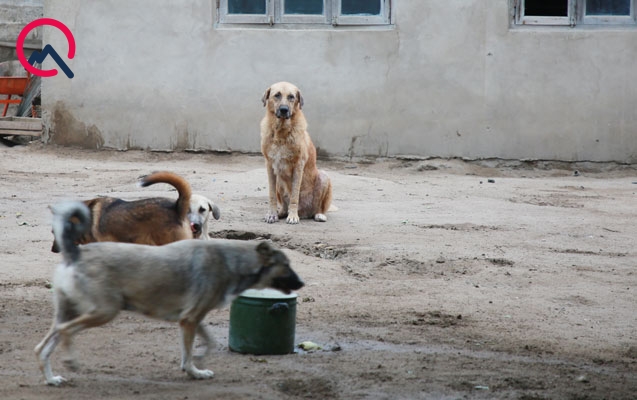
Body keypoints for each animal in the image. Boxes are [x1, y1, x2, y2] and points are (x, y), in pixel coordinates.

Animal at [34, 202, 304, 386]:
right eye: (287, 265)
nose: (301, 283)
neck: (233, 261)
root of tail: (76, 253)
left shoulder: (191, 318)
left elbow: (206, 344)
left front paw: (198, 366)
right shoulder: (190, 320)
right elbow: (190, 354)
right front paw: (194, 369)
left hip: (69, 312)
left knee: (42, 347)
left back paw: (51, 379)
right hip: (103, 311)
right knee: (65, 331)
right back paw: (71, 361)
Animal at [260, 81, 336, 225]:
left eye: (291, 96)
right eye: (277, 95)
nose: (284, 110)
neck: (281, 133)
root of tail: (304, 213)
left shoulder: (298, 166)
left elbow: (294, 196)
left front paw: (293, 216)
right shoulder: (269, 166)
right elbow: (272, 195)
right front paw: (272, 214)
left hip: (324, 177)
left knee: (319, 208)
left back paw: (318, 214)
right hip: (279, 182)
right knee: (284, 205)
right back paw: (282, 212)